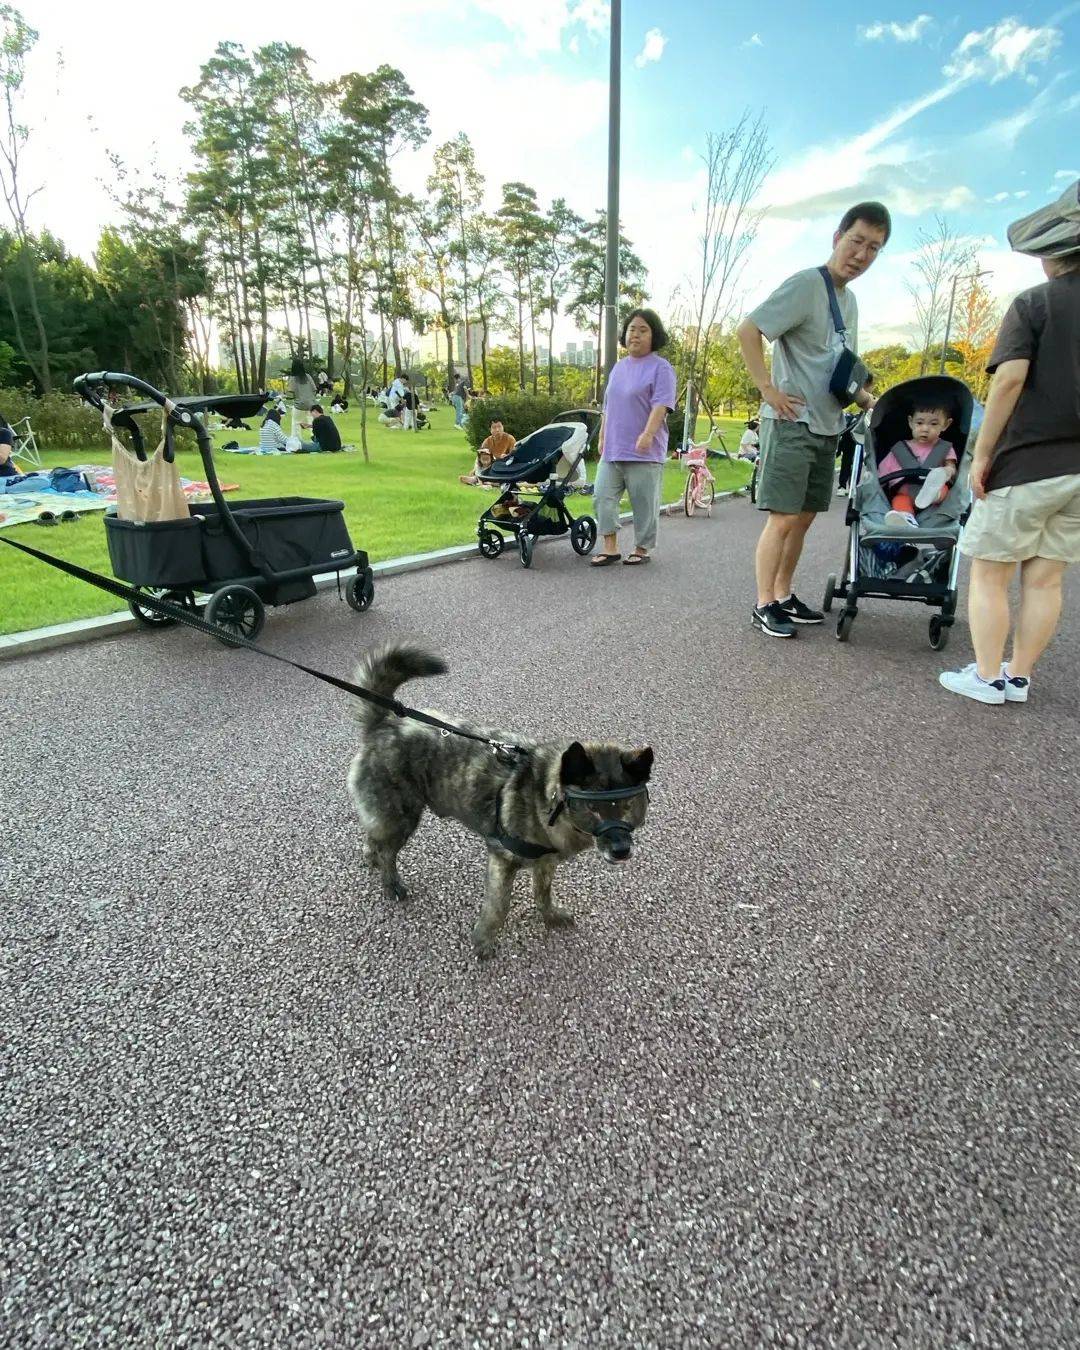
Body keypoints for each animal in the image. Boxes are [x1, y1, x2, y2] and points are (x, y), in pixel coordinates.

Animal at [348, 645, 650, 955]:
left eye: (628, 805)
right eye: (591, 806)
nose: (621, 850)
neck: (541, 796)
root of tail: (384, 724)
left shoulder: (546, 862)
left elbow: (542, 893)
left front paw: (550, 916)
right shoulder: (502, 861)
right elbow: (498, 907)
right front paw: (483, 941)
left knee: (375, 836)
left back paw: (371, 856)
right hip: (403, 816)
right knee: (388, 851)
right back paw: (391, 884)